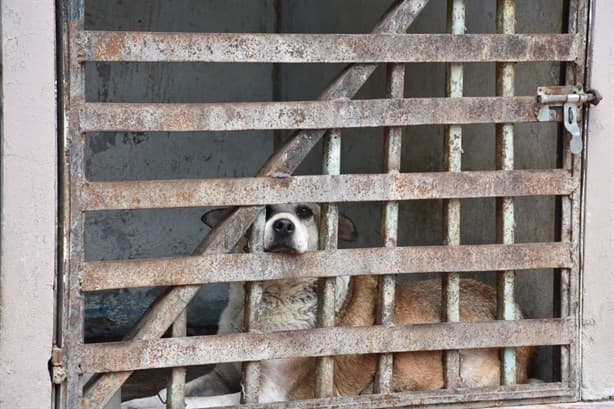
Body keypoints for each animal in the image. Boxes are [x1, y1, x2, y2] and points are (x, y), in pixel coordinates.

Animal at [121, 202, 536, 406]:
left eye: (305, 212)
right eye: (264, 212)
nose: (283, 225)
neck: (272, 298)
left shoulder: (264, 395)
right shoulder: (222, 376)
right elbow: (163, 397)